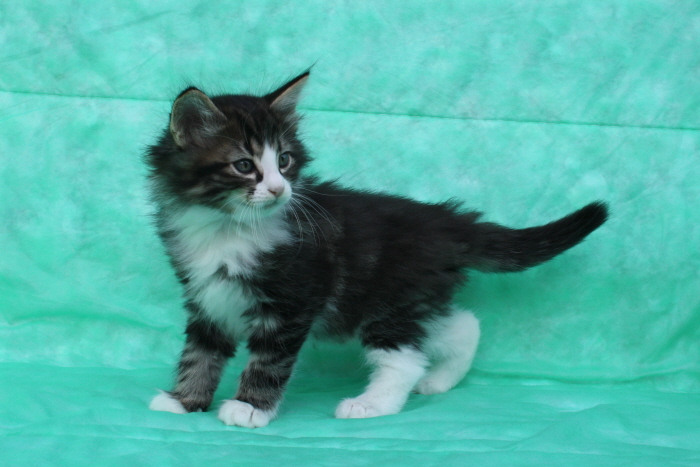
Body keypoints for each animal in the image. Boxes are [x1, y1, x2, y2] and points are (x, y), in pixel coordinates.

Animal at [146, 71, 608, 428]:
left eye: (286, 161)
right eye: (244, 165)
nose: (280, 189)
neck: (225, 227)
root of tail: (442, 221)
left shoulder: (294, 300)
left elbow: (269, 361)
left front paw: (249, 408)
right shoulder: (207, 294)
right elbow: (201, 352)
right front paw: (184, 400)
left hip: (389, 300)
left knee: (405, 357)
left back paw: (370, 405)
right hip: (408, 298)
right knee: (462, 326)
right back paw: (441, 381)